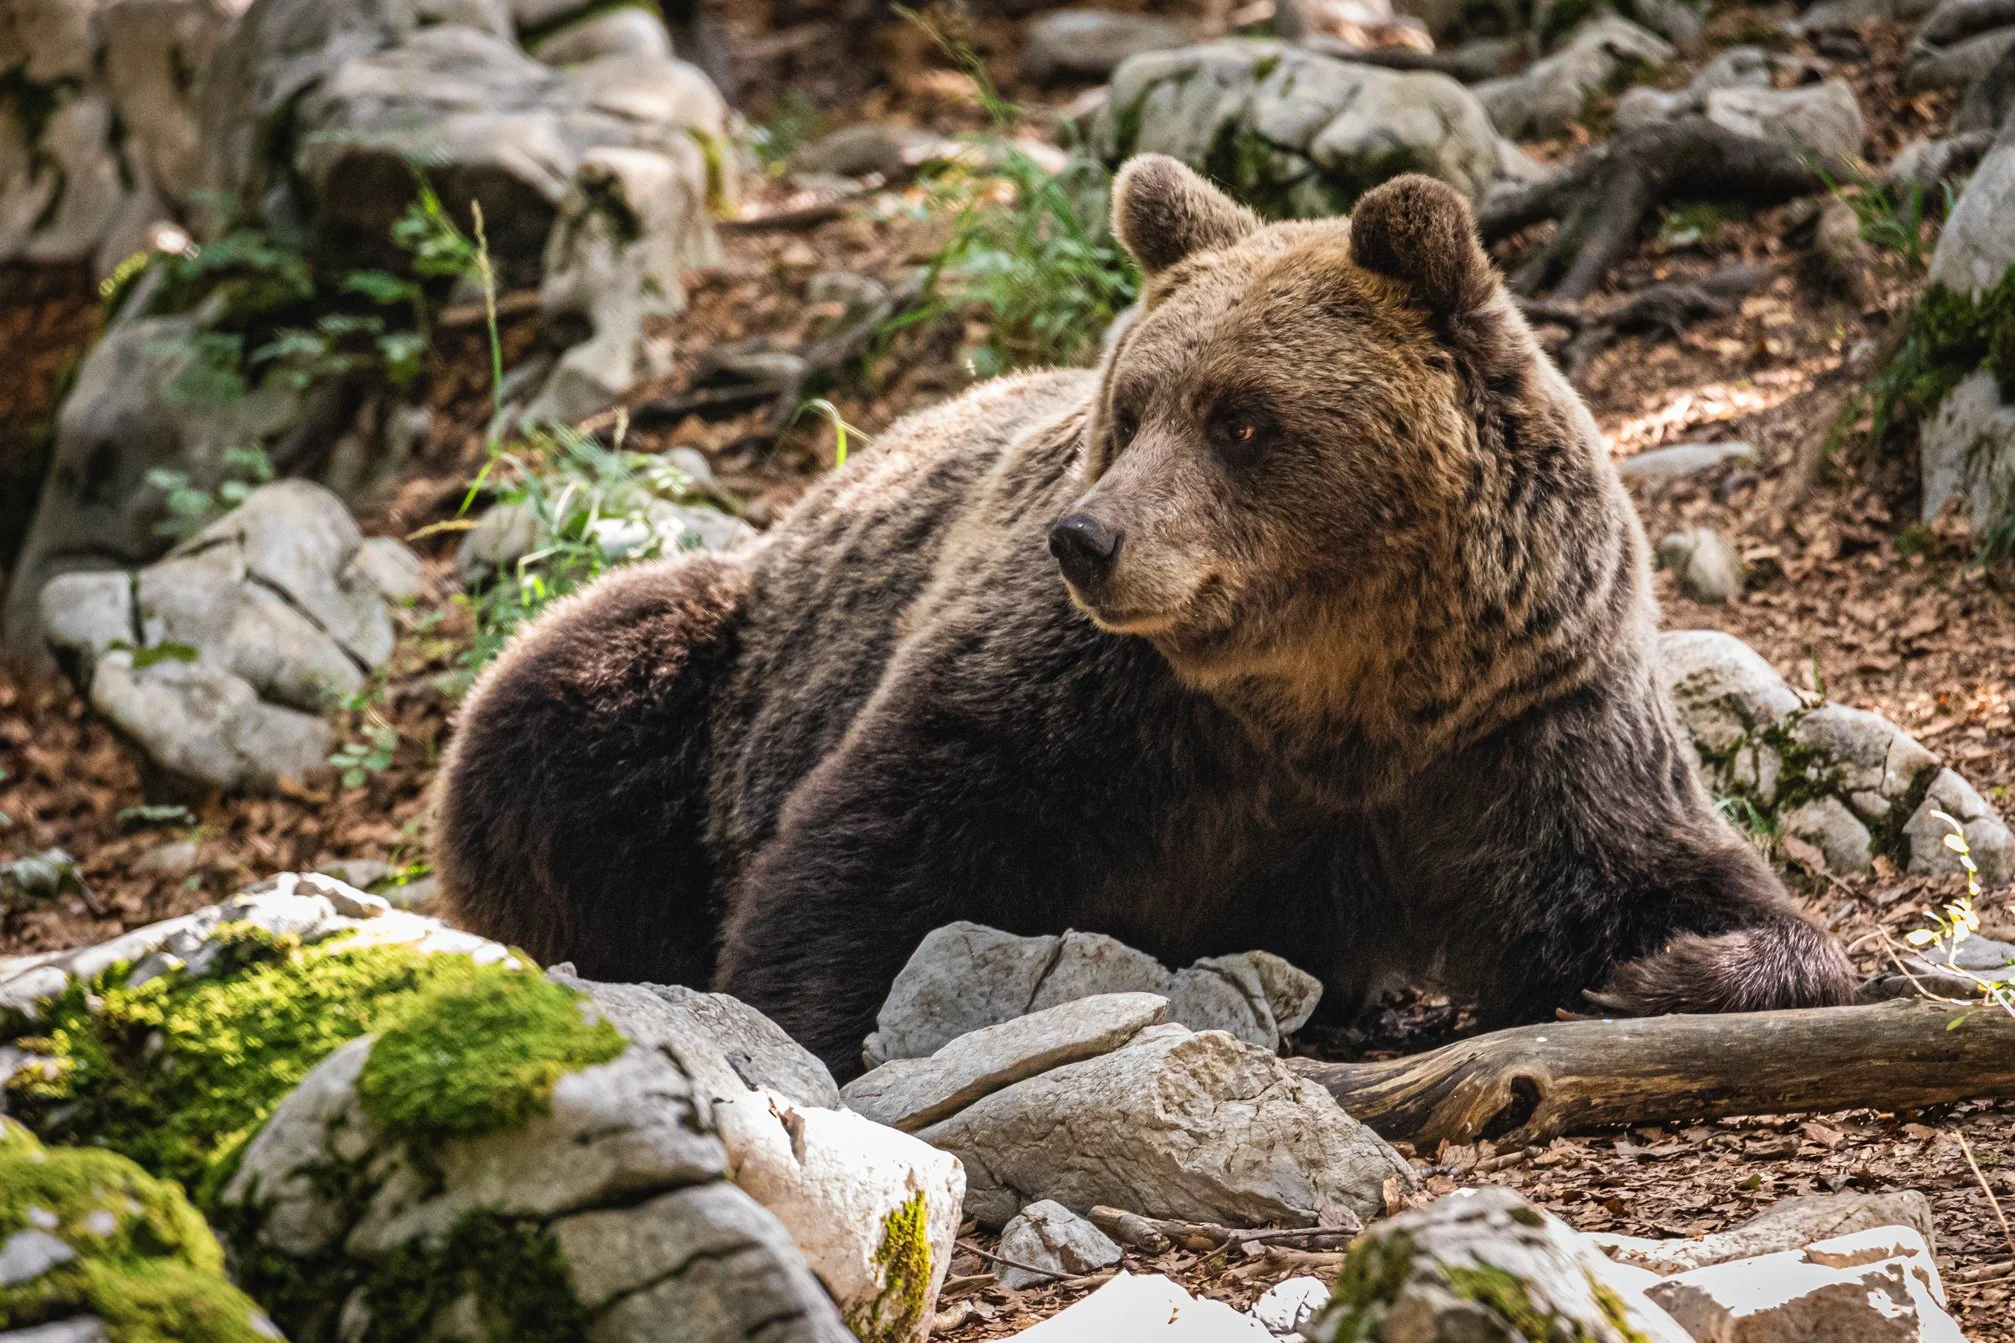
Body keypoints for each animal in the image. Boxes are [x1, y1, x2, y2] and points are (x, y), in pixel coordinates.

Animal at [433, 158, 1856, 1079]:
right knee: (562, 695)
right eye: (1134, 404)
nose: (1087, 538)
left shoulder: (1513, 720)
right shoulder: (1087, 705)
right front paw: (809, 1028)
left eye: (1242, 419)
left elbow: (1675, 880)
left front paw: (1656, 970)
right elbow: (870, 845)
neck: (1330, 691)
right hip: (719, 657)